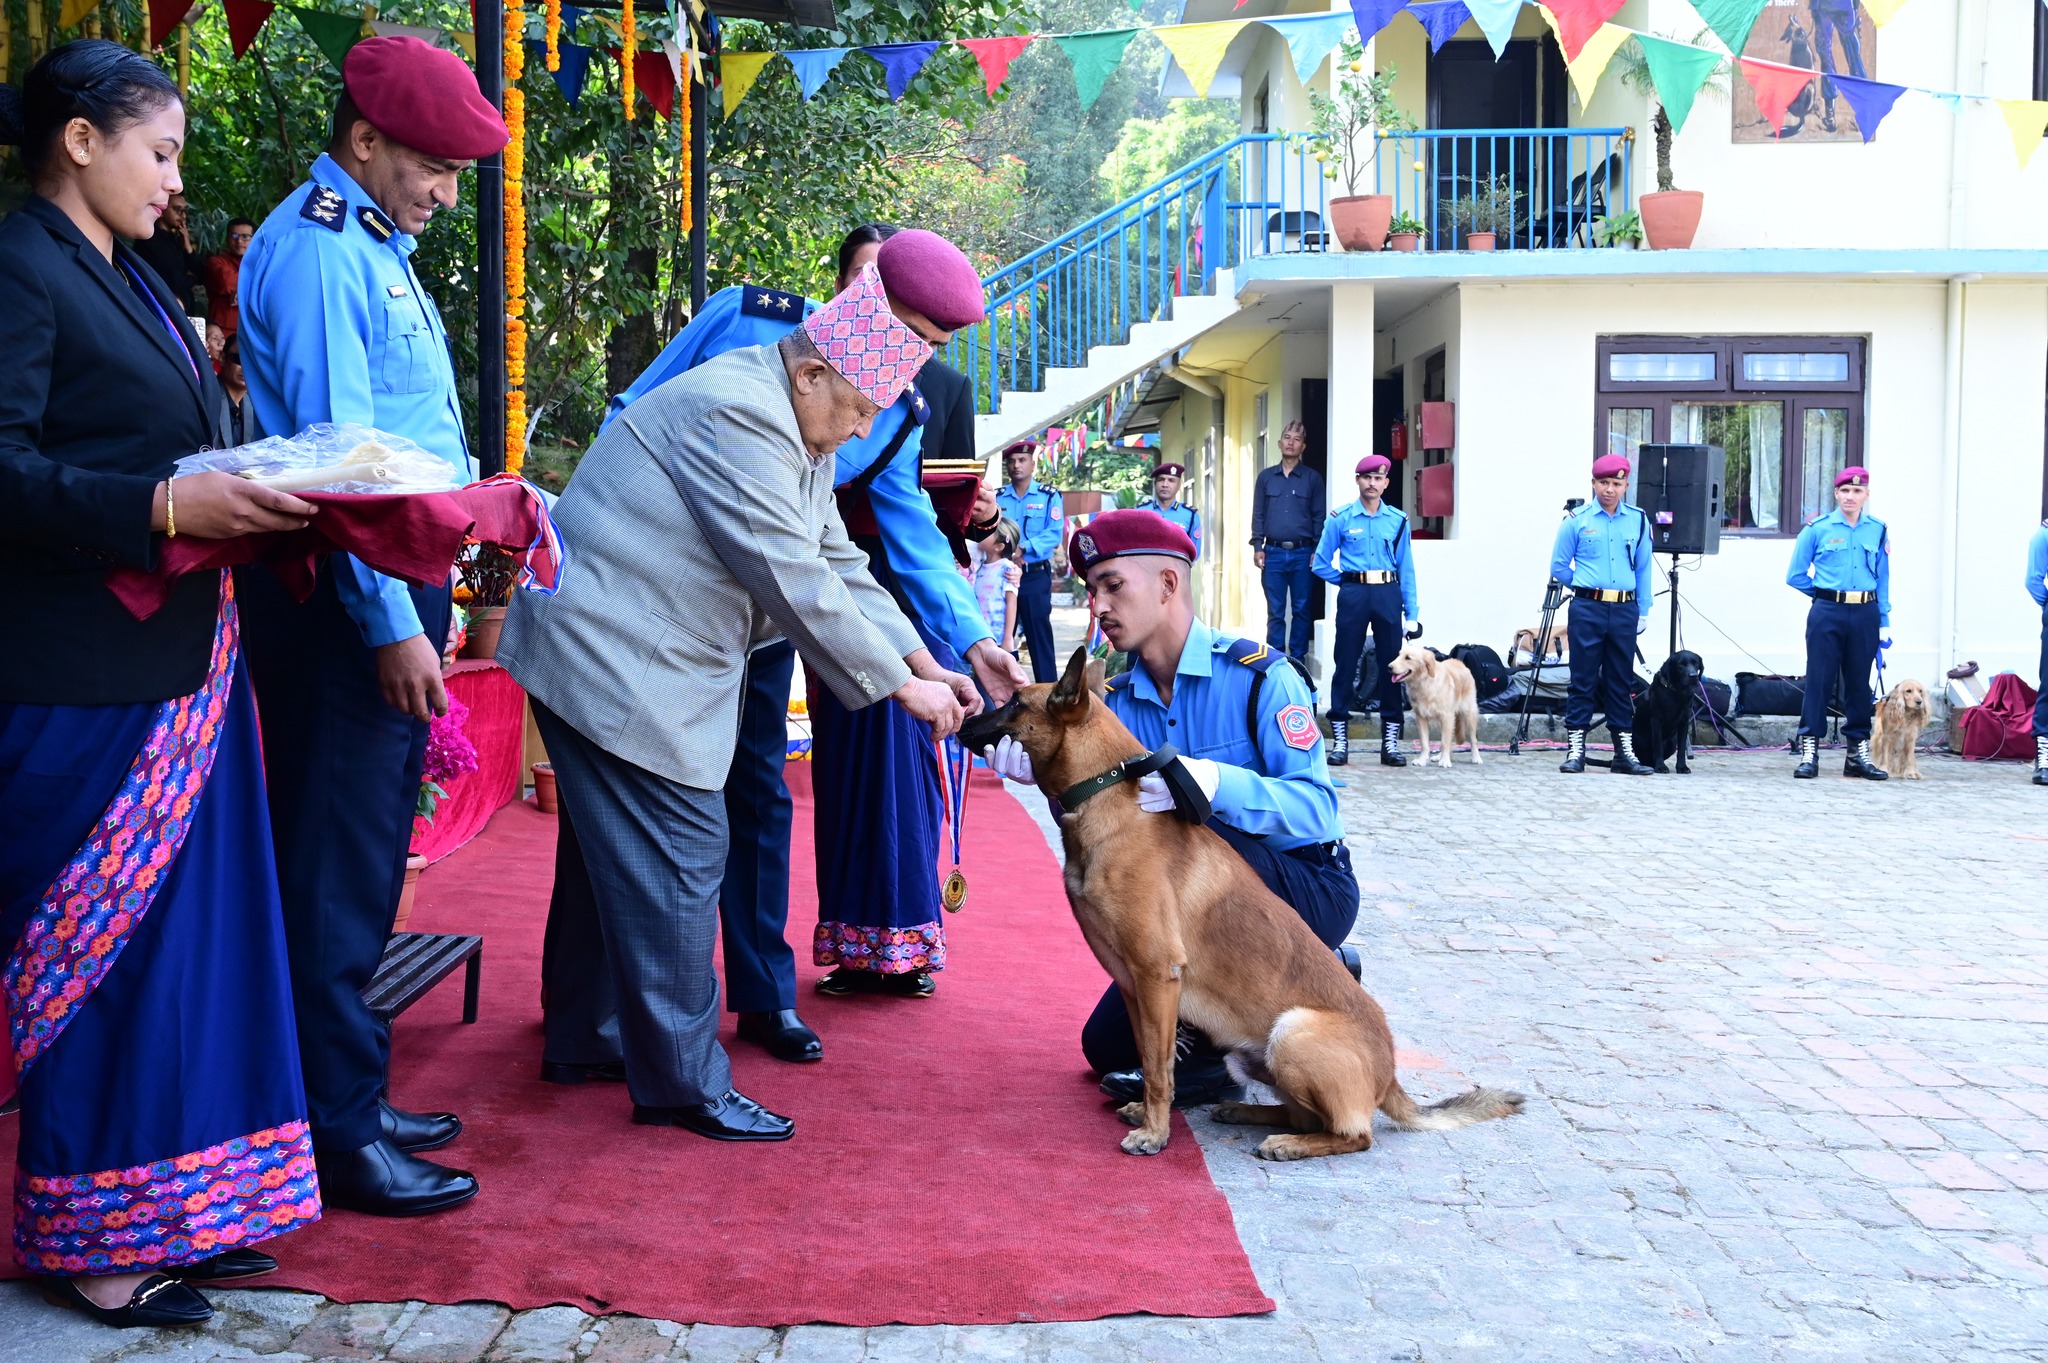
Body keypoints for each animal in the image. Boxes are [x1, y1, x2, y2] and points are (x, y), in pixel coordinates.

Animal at [958, 646, 1523, 1154]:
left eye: (1013, 703)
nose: (962, 717)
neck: (1104, 793)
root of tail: (1390, 1076)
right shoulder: (1136, 987)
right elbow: (1155, 1059)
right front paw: (1151, 1112)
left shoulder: (1156, 976)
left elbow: (1159, 1069)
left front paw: (1155, 1134)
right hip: (1254, 1054)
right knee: (1302, 1112)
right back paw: (1244, 1112)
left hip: (1292, 1033)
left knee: (1354, 1135)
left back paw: (1288, 1143)